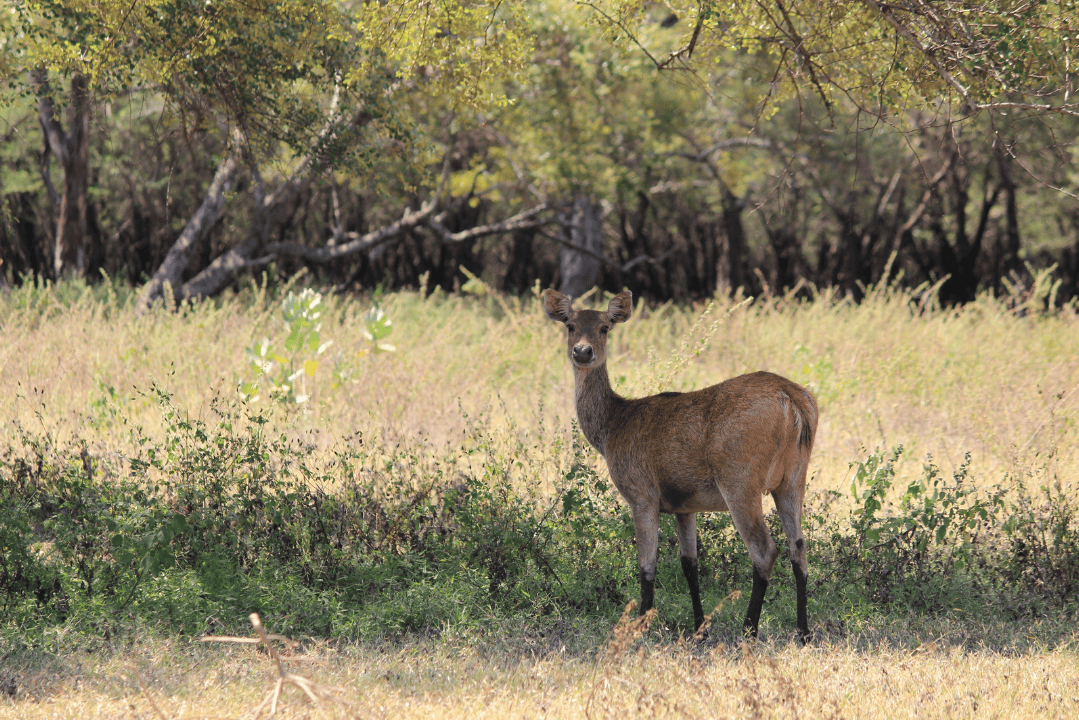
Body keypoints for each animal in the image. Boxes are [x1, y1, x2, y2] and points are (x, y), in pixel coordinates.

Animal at [543, 288, 818, 642]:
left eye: (605, 327)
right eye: (570, 325)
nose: (582, 351)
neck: (611, 428)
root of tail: (794, 401)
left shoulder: (641, 494)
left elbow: (647, 564)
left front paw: (640, 626)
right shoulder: (684, 505)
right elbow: (690, 564)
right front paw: (699, 627)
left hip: (740, 479)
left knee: (764, 549)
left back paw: (749, 629)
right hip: (793, 478)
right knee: (798, 545)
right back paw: (803, 631)